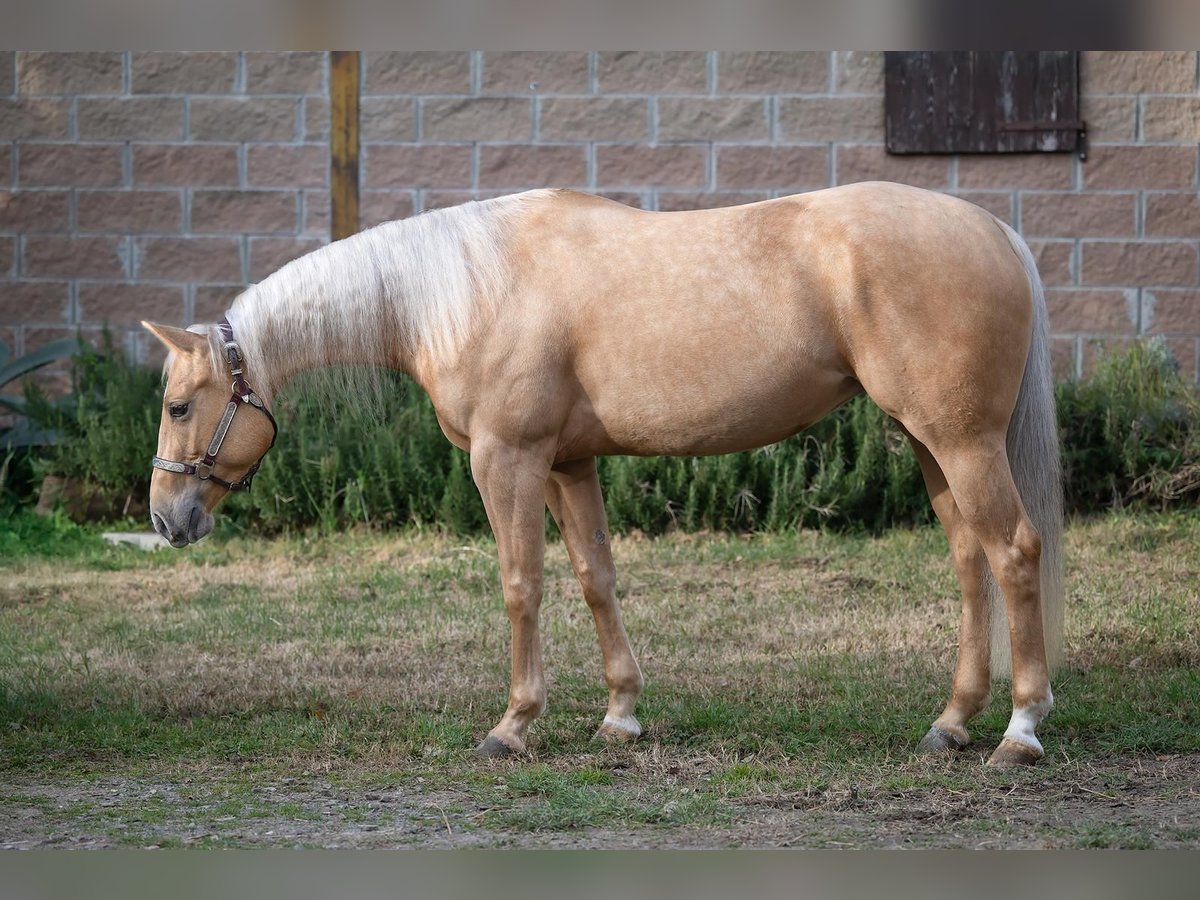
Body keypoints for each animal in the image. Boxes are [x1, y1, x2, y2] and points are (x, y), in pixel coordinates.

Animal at [147, 181, 1060, 768]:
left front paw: (513, 726)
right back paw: (952, 722)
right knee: (970, 562)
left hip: (962, 441)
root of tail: (996, 231)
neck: (467, 290)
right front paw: (621, 715)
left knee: (1014, 552)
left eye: (181, 406)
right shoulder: (568, 463)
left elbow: (521, 583)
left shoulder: (506, 459)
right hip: (928, 442)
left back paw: (1019, 731)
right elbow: (596, 578)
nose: (165, 518)